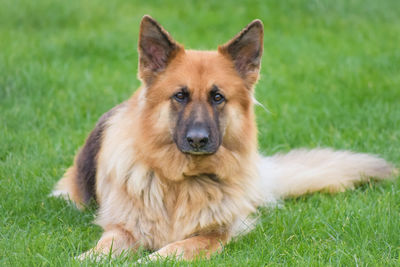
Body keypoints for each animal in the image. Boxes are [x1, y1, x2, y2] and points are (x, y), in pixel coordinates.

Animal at [50, 15, 396, 262]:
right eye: (180, 96)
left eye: (217, 97)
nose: (198, 140)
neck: (182, 182)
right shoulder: (123, 228)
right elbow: (103, 248)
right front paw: (86, 258)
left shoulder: (216, 234)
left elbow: (172, 251)